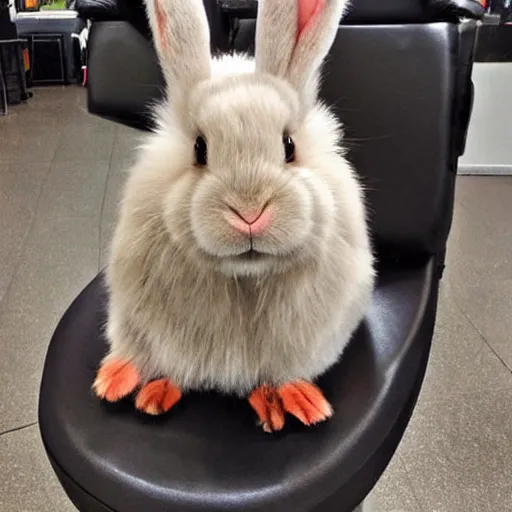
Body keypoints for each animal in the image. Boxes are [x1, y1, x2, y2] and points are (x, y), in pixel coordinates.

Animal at [92, 0, 374, 432]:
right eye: (199, 149)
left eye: (289, 146)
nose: (250, 214)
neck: (244, 277)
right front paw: (132, 382)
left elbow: (281, 372)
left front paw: (297, 398)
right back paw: (133, 384)